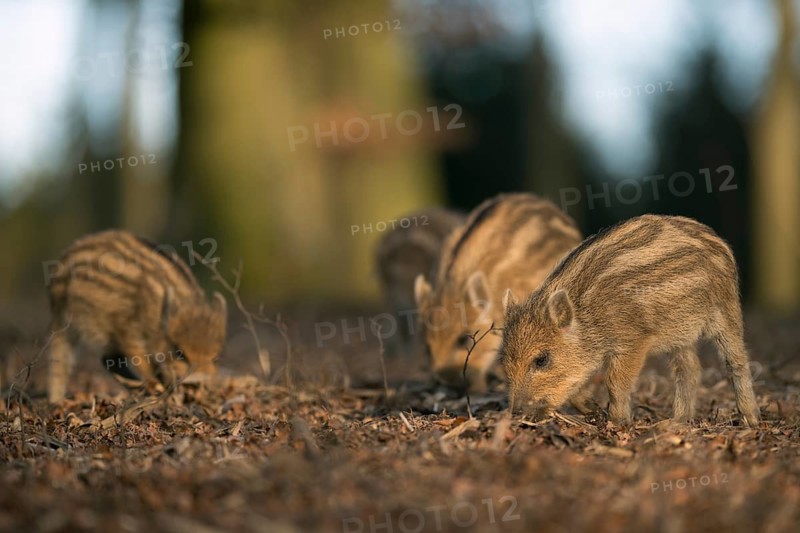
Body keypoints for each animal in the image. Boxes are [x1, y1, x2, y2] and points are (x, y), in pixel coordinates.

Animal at [47, 230, 227, 402]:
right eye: (179, 353)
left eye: (216, 359)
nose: (198, 388)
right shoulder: (126, 328)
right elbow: (140, 359)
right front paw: (156, 386)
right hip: (71, 321)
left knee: (107, 359)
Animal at [500, 214, 761, 427]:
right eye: (504, 362)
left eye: (541, 360)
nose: (516, 414)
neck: (588, 314)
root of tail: (717, 239)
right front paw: (594, 410)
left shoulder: (634, 340)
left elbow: (615, 380)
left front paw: (616, 421)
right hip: (679, 334)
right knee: (689, 369)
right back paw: (676, 422)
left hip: (725, 311)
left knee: (737, 361)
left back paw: (750, 419)